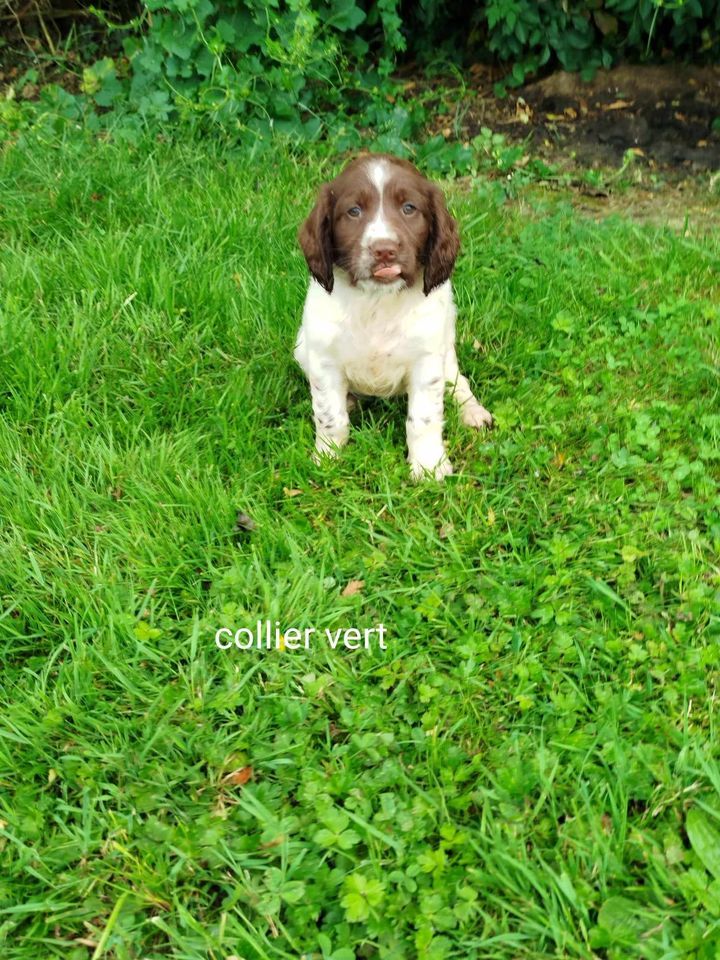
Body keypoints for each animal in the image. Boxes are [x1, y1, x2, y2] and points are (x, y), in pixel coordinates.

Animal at [292, 154, 490, 480]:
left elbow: (424, 418)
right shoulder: (323, 358)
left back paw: (472, 412)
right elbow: (329, 415)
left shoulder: (426, 359)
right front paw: (327, 457)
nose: (384, 251)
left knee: (457, 381)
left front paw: (428, 466)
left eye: (409, 208)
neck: (378, 301)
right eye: (354, 211)